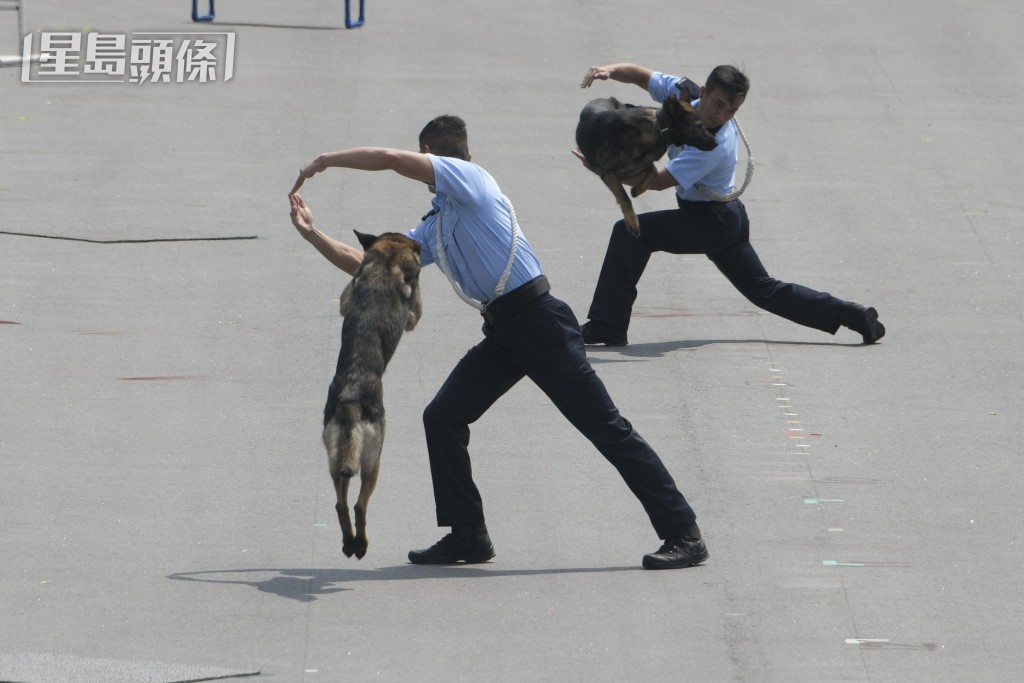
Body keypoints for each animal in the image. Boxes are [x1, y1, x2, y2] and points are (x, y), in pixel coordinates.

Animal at [321, 231, 421, 561]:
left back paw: (348, 543)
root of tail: (350, 400)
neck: (386, 260)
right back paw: (361, 544)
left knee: (340, 503)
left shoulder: (346, 296)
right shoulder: (414, 312)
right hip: (373, 460)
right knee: (359, 505)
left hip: (337, 459)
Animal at [573, 94, 716, 236]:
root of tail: (607, 98)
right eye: (699, 125)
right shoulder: (608, 172)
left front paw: (637, 190)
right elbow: (625, 198)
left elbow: (654, 172)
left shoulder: (642, 163)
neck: (658, 130)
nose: (716, 143)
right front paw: (632, 221)